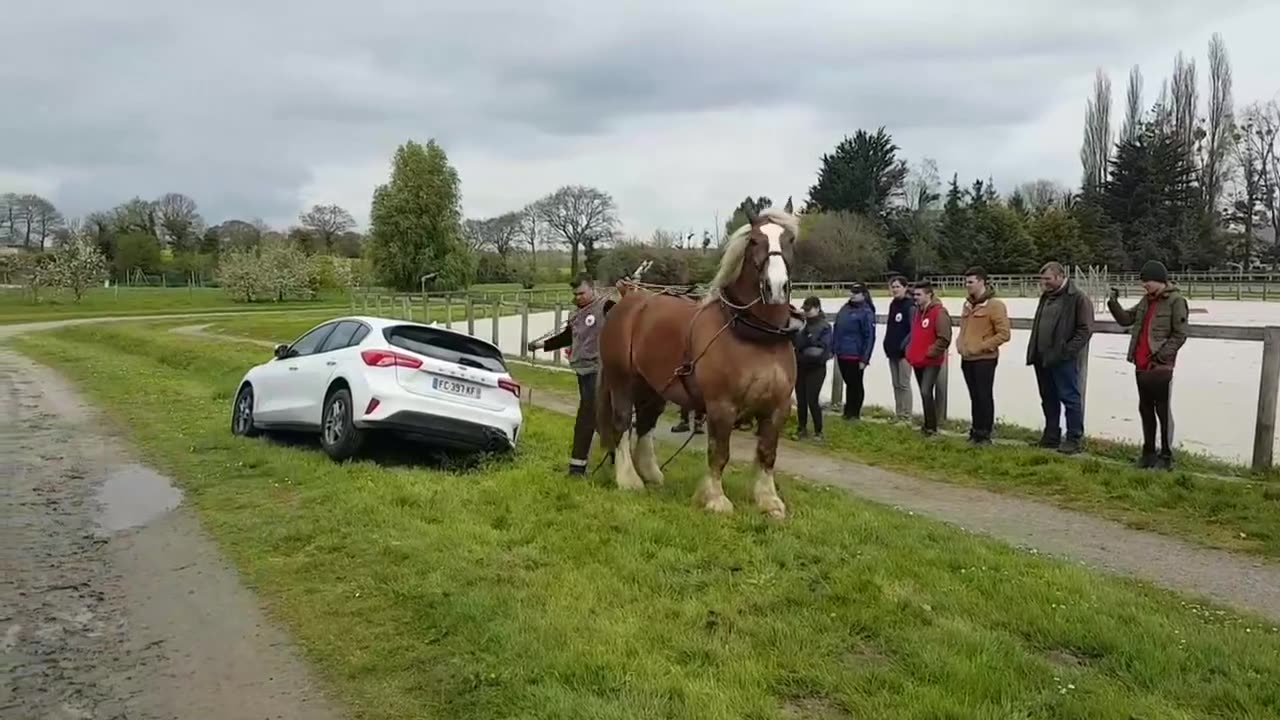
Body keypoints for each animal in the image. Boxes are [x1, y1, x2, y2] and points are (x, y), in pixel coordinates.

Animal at [596, 197, 798, 515]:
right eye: (754, 241)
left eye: (790, 239)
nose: (776, 287)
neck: (756, 337)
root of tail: (626, 302)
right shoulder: (721, 406)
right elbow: (719, 453)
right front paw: (715, 499)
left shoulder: (777, 408)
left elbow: (767, 454)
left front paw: (768, 500)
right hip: (622, 382)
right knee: (623, 424)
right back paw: (629, 479)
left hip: (653, 388)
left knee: (645, 424)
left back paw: (651, 473)